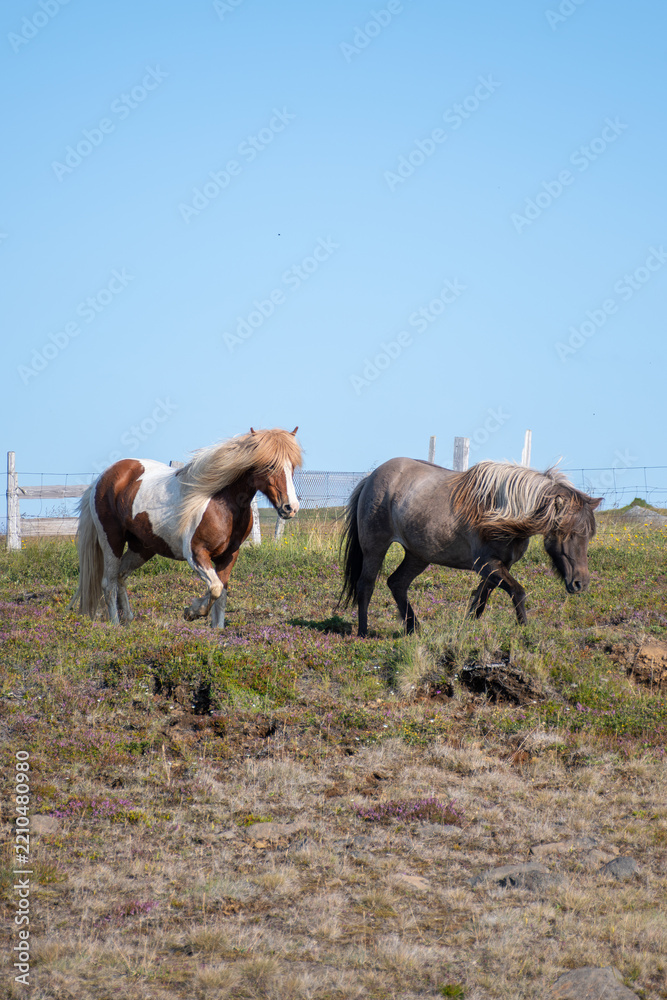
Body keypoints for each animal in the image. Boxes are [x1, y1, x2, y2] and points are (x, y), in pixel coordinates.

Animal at [69, 427, 302, 627]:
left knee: (121, 576)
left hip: (142, 548)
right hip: (112, 540)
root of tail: (103, 478)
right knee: (108, 583)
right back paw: (116, 625)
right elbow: (215, 588)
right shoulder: (196, 554)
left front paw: (217, 630)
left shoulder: (229, 556)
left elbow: (221, 594)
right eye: (269, 465)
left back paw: (128, 619)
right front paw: (192, 612)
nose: (290, 507)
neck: (220, 503)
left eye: (292, 466)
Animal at [340, 458, 602, 636]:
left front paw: (466, 632)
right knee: (366, 585)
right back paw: (364, 632)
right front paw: (525, 631)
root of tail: (370, 477)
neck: (499, 511)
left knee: (397, 583)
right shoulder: (487, 564)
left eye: (588, 535)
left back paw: (414, 630)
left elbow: (480, 600)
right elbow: (518, 592)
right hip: (375, 548)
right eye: (567, 533)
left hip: (417, 555)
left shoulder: (497, 567)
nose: (580, 583)